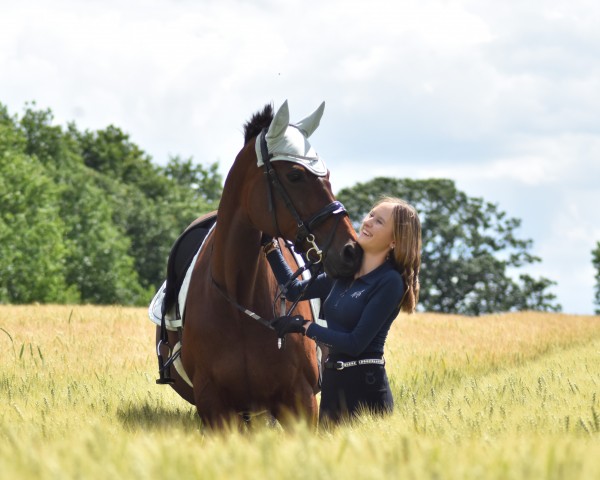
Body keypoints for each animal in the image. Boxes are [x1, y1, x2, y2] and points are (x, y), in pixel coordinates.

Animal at [155, 100, 360, 428]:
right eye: (295, 176)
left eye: (327, 174)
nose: (351, 250)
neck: (238, 296)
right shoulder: (214, 406)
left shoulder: (300, 402)